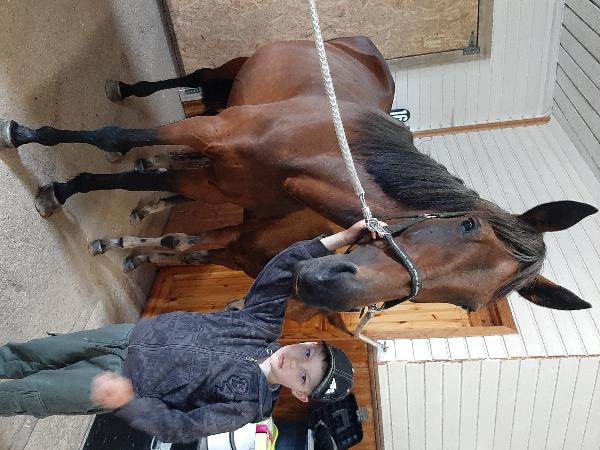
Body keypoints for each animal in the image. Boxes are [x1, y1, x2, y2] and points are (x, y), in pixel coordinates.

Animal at [0, 36, 596, 314]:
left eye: (466, 304)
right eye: (467, 225)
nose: (327, 284)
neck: (314, 151)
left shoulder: (213, 180)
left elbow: (153, 201)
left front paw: (95, 209)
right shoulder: (210, 132)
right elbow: (112, 139)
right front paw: (36, 155)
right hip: (224, 79)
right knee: (185, 81)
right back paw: (124, 90)